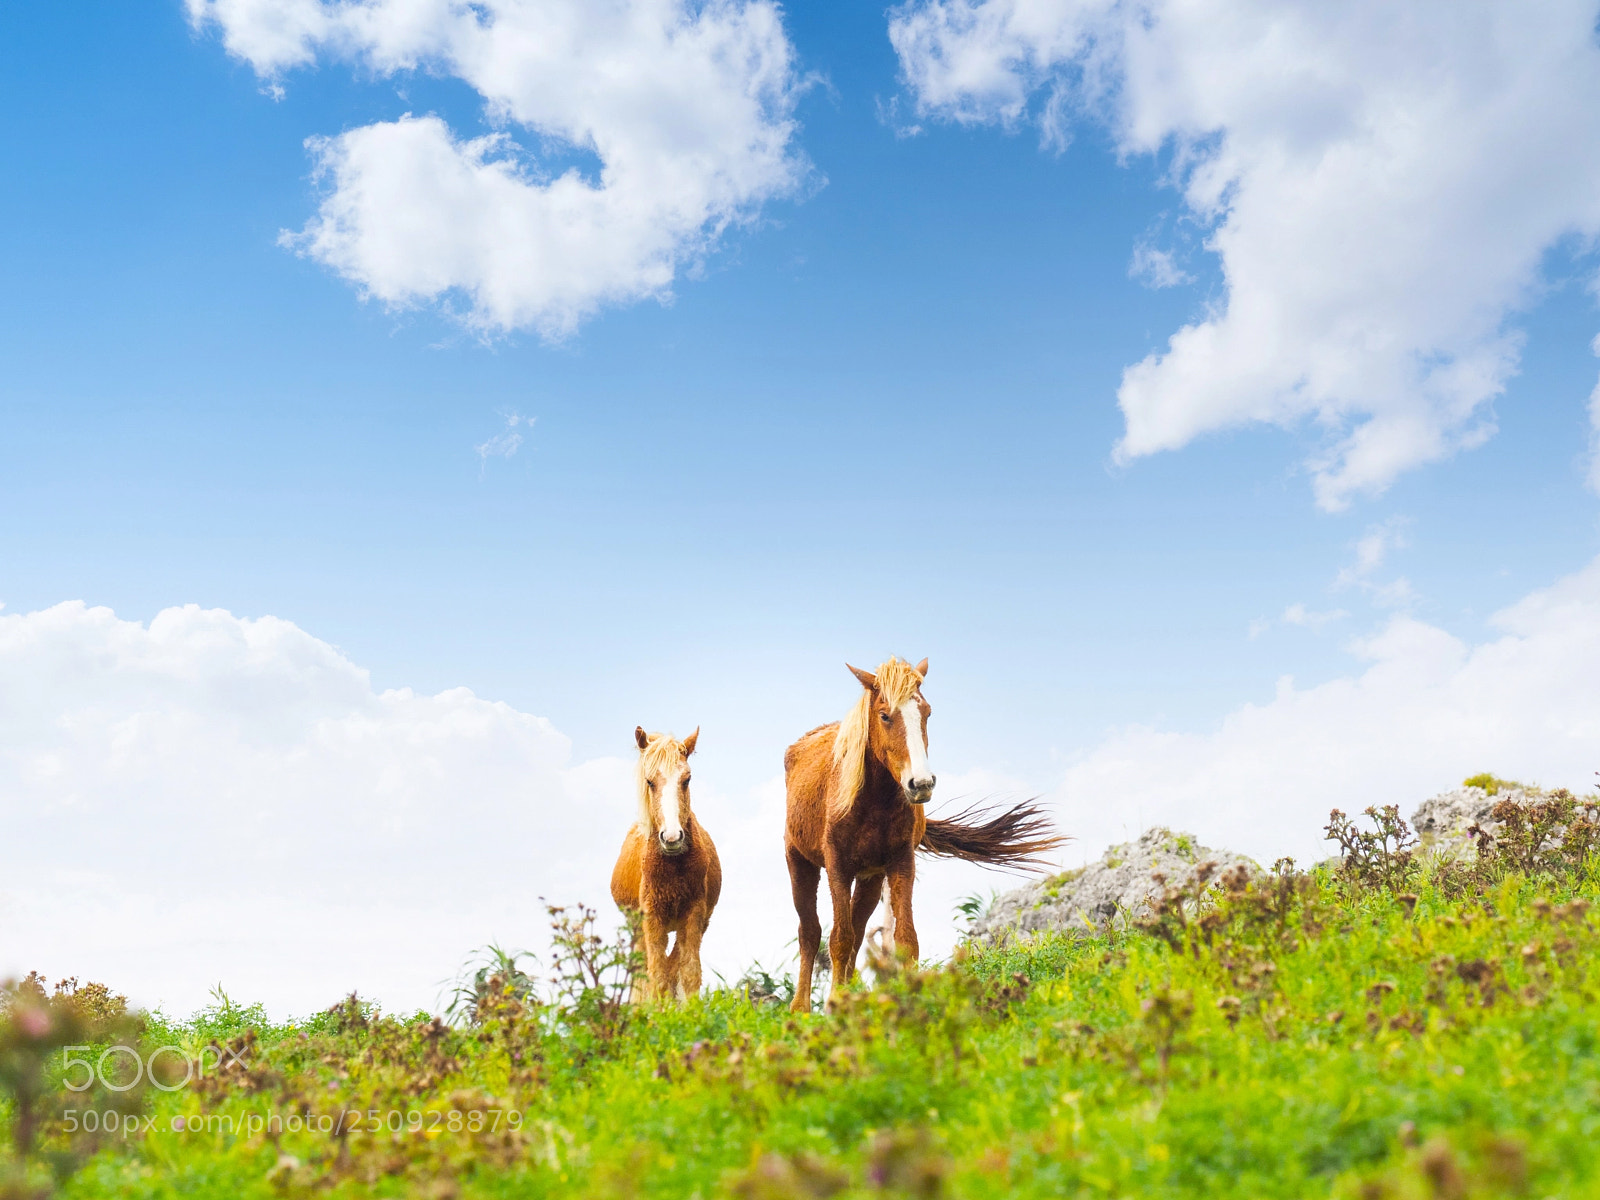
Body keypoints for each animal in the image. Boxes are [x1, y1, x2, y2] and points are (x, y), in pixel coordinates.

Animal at [609, 726, 722, 1002]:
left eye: (687, 779)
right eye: (650, 781)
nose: (672, 837)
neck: (673, 869)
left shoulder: (694, 915)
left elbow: (687, 972)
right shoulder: (652, 917)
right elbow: (656, 975)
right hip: (638, 928)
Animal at [783, 657, 1063, 1011]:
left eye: (927, 713)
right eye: (885, 715)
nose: (921, 783)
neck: (872, 801)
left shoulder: (901, 863)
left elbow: (904, 939)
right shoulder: (837, 867)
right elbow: (838, 939)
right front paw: (834, 1006)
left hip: (871, 878)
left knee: (858, 931)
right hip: (799, 862)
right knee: (810, 932)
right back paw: (801, 1009)